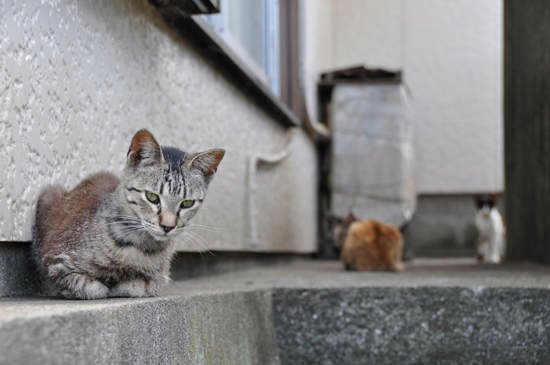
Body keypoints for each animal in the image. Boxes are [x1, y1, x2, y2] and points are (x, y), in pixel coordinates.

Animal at [31, 129, 224, 298]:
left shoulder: (159, 279)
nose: (167, 226)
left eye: (187, 203)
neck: (141, 248)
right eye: (152, 197)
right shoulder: (55, 263)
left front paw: (123, 284)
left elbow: (140, 285)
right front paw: (107, 286)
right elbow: (91, 288)